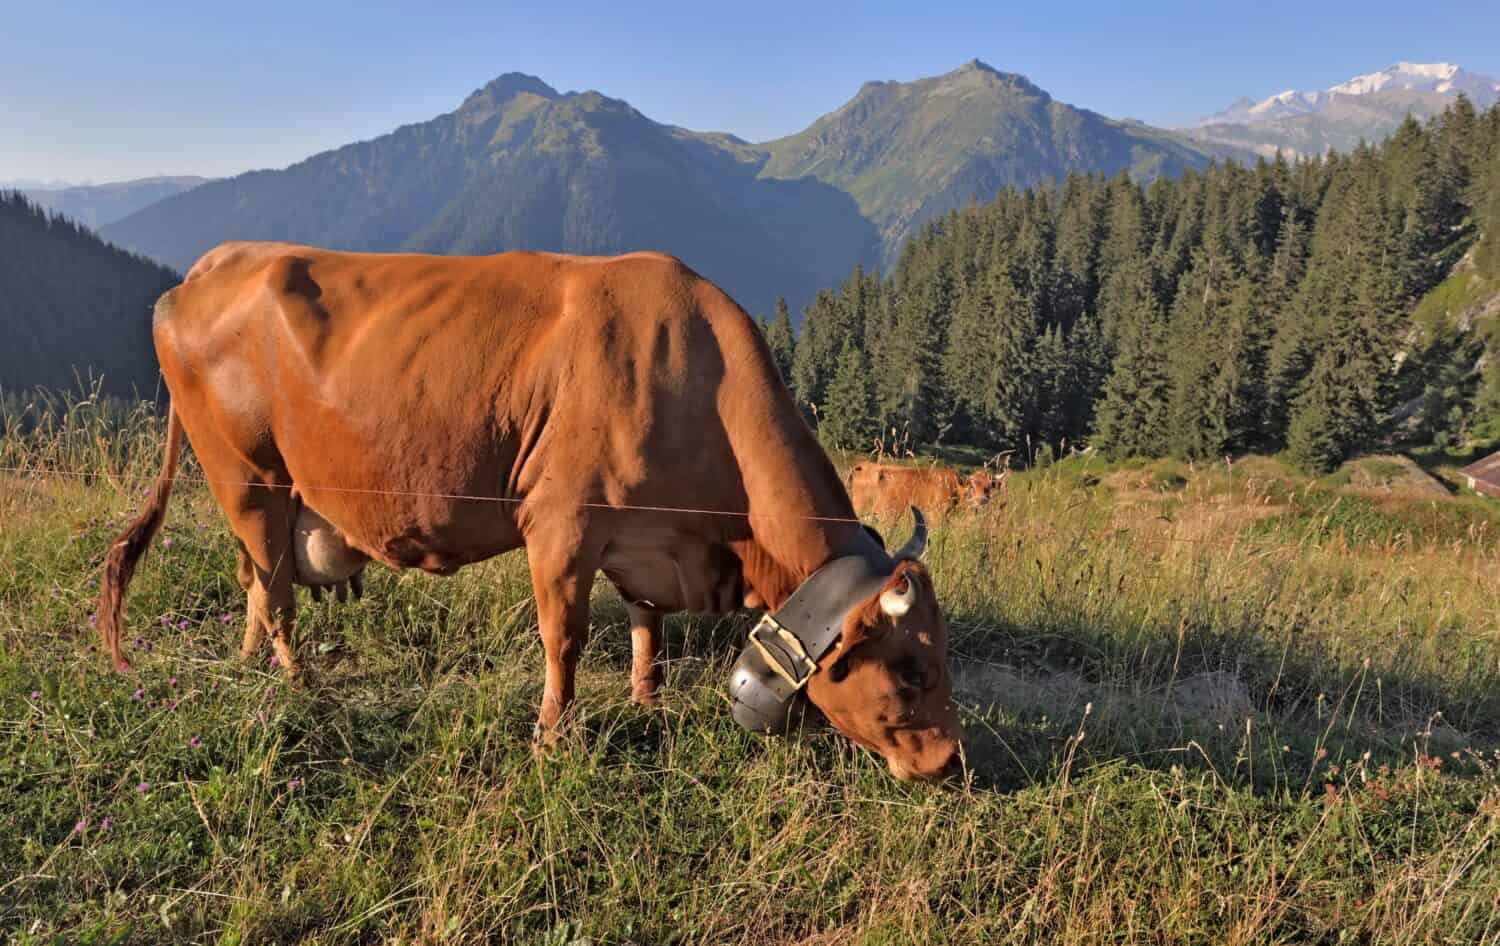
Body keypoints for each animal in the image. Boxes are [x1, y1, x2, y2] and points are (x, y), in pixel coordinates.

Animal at [97, 243, 962, 781]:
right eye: (913, 669)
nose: (948, 762)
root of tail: (215, 263)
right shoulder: (562, 525)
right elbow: (565, 638)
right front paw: (551, 738)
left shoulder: (645, 540)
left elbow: (647, 625)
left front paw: (647, 700)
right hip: (247, 475)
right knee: (276, 594)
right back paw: (303, 685)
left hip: (261, 493)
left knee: (255, 579)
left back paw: (249, 666)